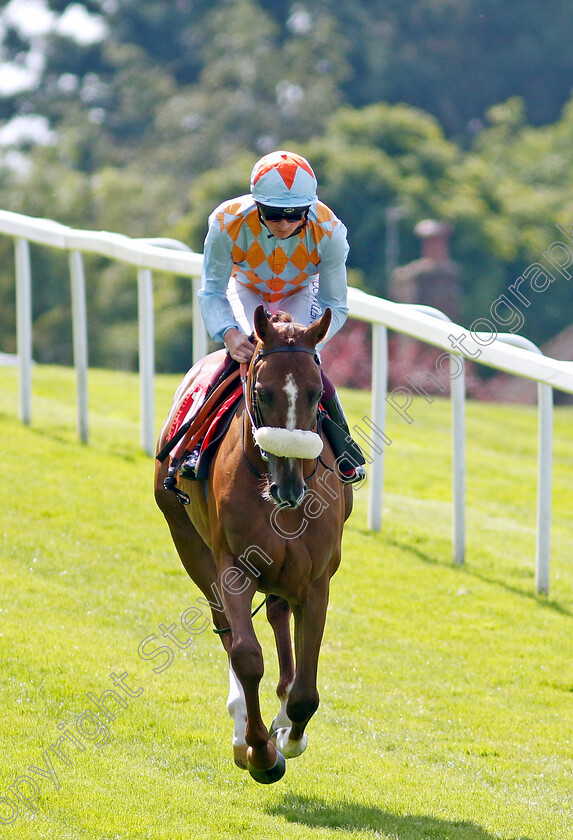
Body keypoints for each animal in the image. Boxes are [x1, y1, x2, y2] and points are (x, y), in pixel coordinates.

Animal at [156, 306, 354, 784]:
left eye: (315, 393)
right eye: (262, 393)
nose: (289, 487)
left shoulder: (316, 580)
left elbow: (305, 692)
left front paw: (290, 736)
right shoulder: (233, 566)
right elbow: (246, 655)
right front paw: (260, 751)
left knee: (279, 614)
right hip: (189, 544)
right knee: (226, 629)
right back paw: (243, 724)